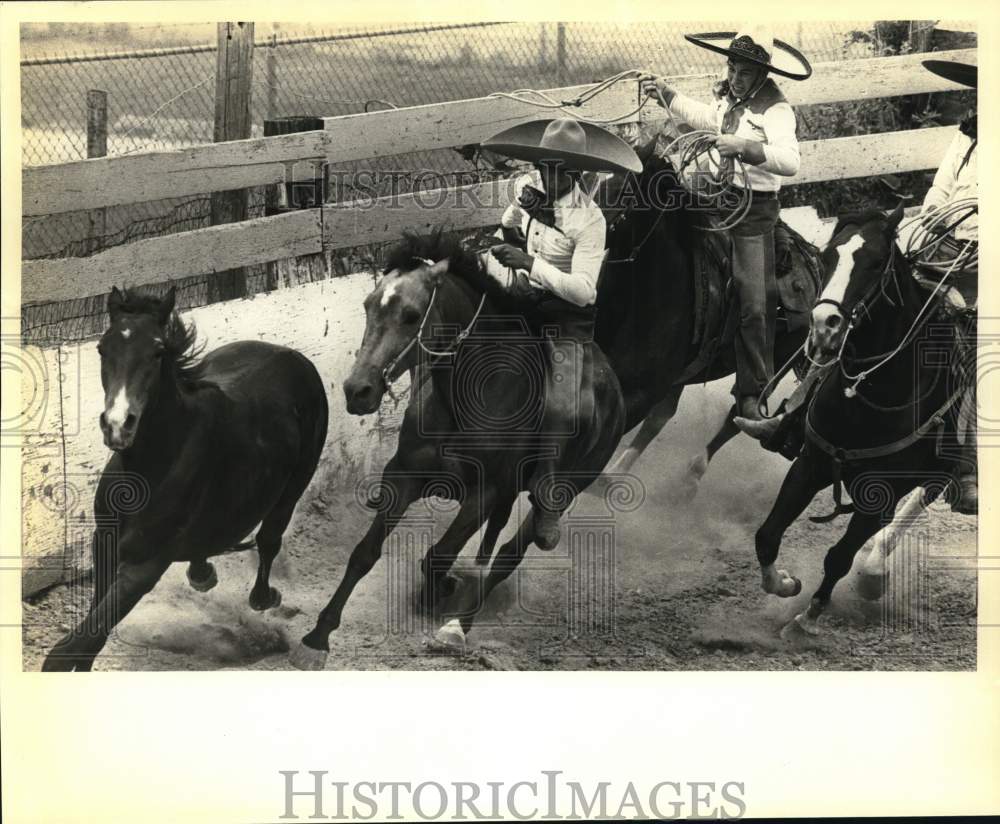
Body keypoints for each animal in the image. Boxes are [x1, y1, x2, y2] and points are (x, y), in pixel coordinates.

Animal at [43, 288, 328, 668]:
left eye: (158, 351)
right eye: (103, 348)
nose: (118, 425)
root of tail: (293, 357)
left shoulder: (144, 566)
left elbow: (78, 645)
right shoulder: (103, 543)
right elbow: (87, 642)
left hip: (293, 487)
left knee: (269, 541)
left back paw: (264, 597)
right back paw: (203, 573)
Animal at [752, 208, 968, 636]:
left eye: (874, 262)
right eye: (828, 256)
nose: (824, 325)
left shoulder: (878, 495)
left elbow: (837, 557)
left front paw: (805, 619)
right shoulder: (810, 464)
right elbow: (767, 536)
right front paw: (785, 584)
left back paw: (872, 571)